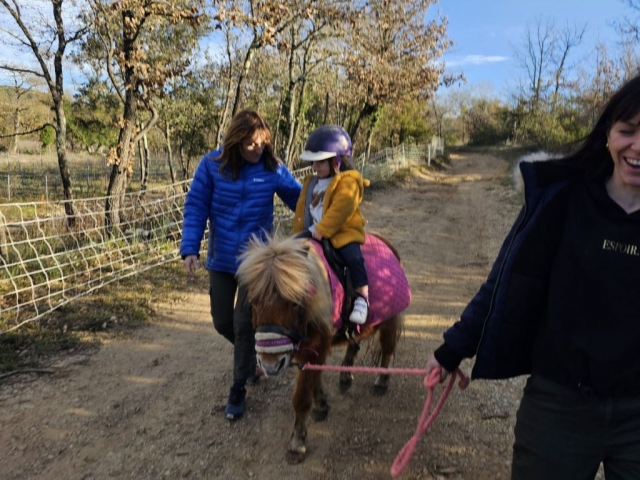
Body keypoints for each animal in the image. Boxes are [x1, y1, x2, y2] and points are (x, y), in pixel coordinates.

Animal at [237, 233, 411, 464]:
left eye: (294, 302)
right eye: (253, 301)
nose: (270, 365)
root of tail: (385, 241)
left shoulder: (316, 344)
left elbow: (302, 397)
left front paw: (297, 444)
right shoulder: (310, 348)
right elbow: (314, 377)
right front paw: (321, 405)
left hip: (389, 320)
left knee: (387, 349)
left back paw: (381, 381)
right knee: (354, 343)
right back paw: (345, 377)